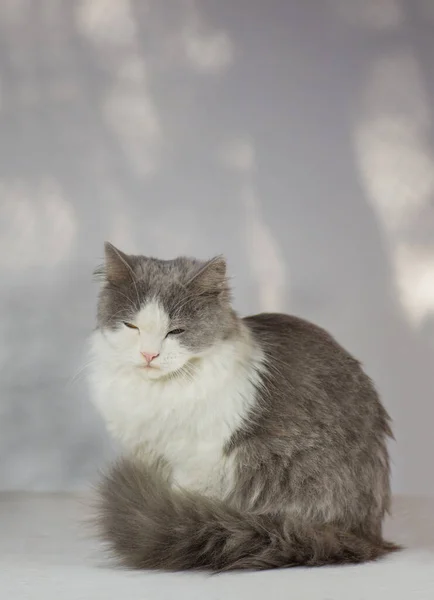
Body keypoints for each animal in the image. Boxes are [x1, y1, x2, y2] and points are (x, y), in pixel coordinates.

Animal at [89, 241, 400, 568]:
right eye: (131, 326)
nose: (149, 355)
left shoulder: (200, 460)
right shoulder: (147, 453)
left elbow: (180, 498)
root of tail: (366, 536)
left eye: (176, 331)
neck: (158, 392)